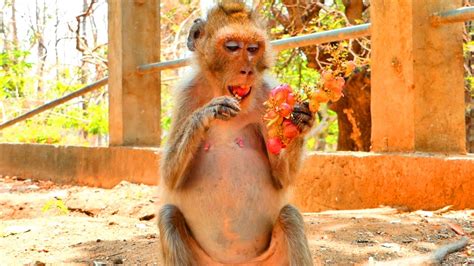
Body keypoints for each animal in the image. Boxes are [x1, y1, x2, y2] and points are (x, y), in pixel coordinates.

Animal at [158, 1, 314, 264]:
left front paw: (301, 121)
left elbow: (282, 179)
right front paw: (207, 113)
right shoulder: (187, 95)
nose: (247, 70)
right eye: (232, 47)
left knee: (289, 216)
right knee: (168, 215)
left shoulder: (266, 95)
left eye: (253, 48)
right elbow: (170, 177)